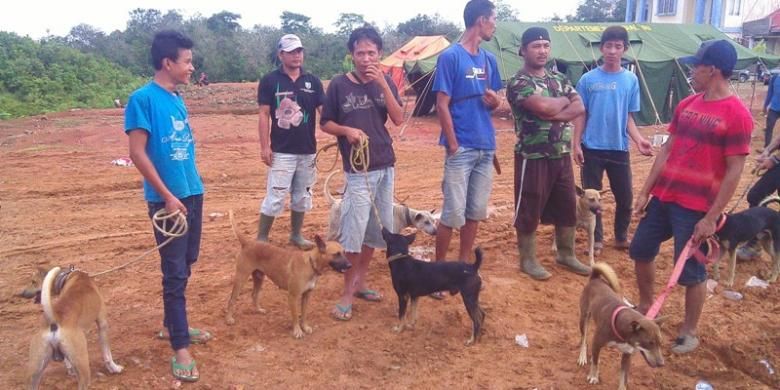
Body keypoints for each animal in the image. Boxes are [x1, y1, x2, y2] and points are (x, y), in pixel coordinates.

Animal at [224, 210, 348, 338]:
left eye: (344, 252)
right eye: (336, 254)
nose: (350, 266)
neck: (310, 264)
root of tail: (247, 243)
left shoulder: (306, 296)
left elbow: (304, 314)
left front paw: (305, 327)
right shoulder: (293, 296)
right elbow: (295, 316)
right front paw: (297, 331)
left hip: (259, 277)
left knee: (254, 295)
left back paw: (258, 310)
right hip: (241, 278)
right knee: (232, 299)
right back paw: (229, 319)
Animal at [576, 262, 668, 390]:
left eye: (661, 343)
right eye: (649, 343)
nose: (661, 364)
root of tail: (595, 278)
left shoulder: (627, 355)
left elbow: (624, 378)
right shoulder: (596, 342)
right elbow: (594, 362)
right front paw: (593, 376)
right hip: (584, 318)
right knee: (584, 340)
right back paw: (583, 357)